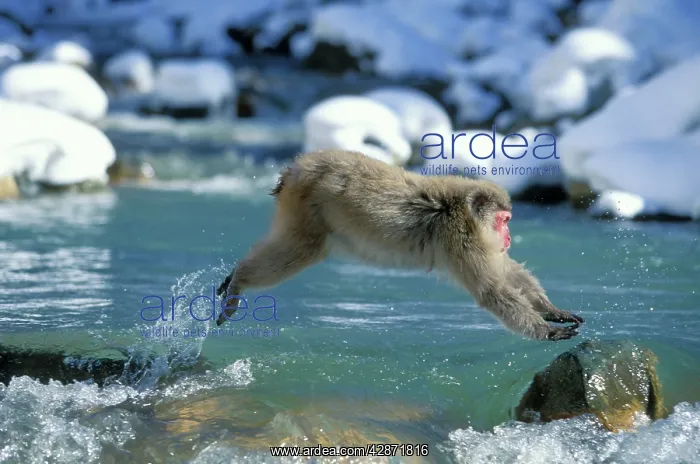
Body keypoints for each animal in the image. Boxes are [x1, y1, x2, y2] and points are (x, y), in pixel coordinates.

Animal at [215, 149, 584, 341]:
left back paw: (234, 277)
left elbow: (505, 270)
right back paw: (240, 280)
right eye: (504, 220)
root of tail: (297, 168)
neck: (460, 210)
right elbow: (492, 290)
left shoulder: (477, 240)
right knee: (303, 249)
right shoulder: (461, 237)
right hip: (306, 206)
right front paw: (547, 331)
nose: (507, 237)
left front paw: (552, 310)